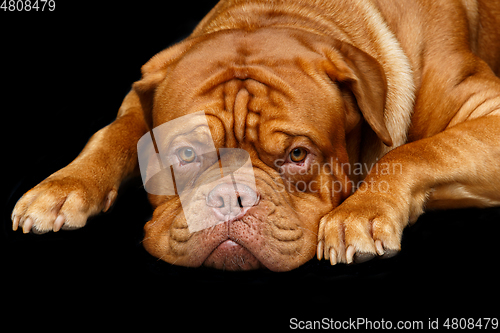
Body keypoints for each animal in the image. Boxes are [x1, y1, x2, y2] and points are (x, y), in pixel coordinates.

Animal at [10, 0, 500, 270]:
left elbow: (414, 152)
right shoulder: (142, 89)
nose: (231, 199)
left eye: (298, 155)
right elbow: (114, 132)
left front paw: (360, 213)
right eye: (185, 154)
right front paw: (63, 186)